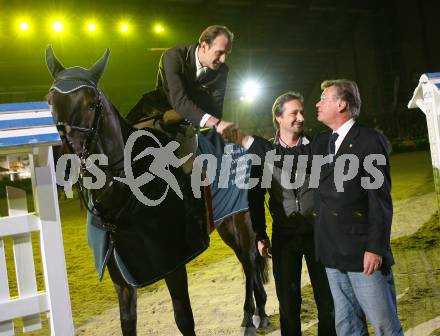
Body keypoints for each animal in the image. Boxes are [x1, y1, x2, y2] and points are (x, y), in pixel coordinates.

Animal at [46, 47, 270, 336]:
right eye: (48, 101)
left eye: (91, 103)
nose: (61, 162)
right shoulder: (121, 277)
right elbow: (127, 323)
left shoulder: (173, 264)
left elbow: (184, 319)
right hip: (226, 224)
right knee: (245, 261)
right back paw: (254, 312)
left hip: (243, 219)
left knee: (251, 261)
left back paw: (254, 314)